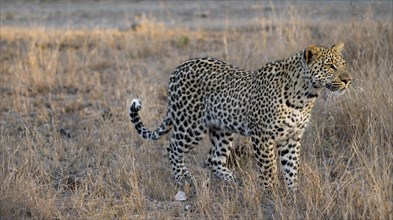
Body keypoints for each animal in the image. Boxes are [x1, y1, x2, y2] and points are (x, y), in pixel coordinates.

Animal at [128, 42, 350, 190]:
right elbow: (268, 169)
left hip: (222, 128)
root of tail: (178, 68)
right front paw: (270, 194)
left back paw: (235, 182)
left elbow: (291, 168)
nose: (348, 79)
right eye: (330, 66)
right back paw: (184, 179)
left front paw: (293, 193)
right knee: (172, 148)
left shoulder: (292, 137)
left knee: (214, 158)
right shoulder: (262, 136)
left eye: (344, 64)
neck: (306, 96)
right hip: (190, 124)